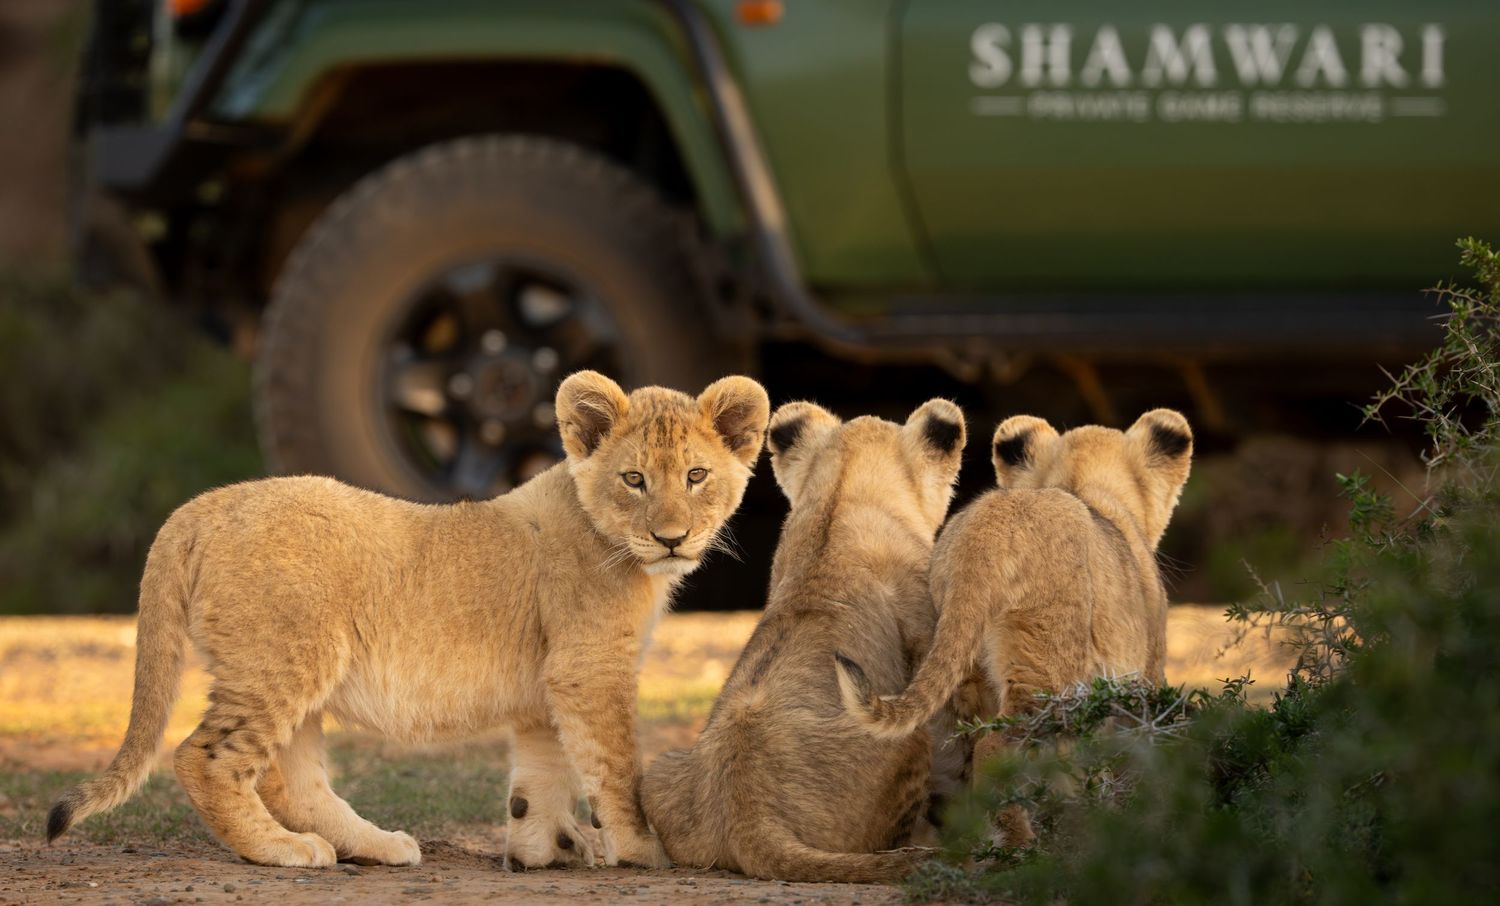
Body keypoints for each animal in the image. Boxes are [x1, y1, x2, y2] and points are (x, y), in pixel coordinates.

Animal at [46, 371, 769, 872]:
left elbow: (544, 771)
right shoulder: (590, 669)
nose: (672, 538)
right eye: (635, 479)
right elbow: (615, 767)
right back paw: (281, 850)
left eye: (697, 475)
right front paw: (641, 849)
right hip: (281, 661)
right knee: (204, 758)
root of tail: (204, 505)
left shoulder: (551, 682)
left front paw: (545, 849)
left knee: (290, 778)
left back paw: (371, 844)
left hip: (297, 669)